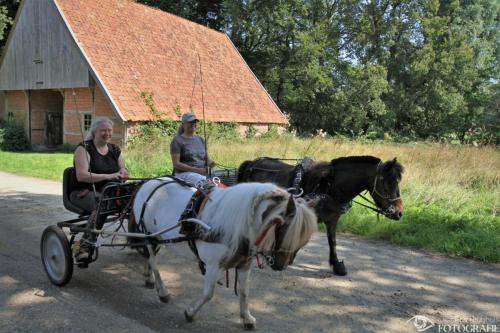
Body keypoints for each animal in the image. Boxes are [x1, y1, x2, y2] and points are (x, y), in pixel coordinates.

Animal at [133, 178, 316, 328]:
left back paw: (148, 278)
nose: (281, 265)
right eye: (283, 229)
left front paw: (247, 318)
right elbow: (208, 294)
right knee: (153, 260)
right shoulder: (213, 265)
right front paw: (190, 312)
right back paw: (162, 291)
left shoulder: (244, 263)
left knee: (148, 257)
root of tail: (149, 182)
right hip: (149, 235)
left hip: (156, 238)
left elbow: (244, 291)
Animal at [236, 156, 404, 274]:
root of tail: (252, 163)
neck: (329, 186)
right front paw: (285, 258)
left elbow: (332, 241)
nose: (399, 212)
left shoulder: (333, 219)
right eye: (388, 182)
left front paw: (336, 265)